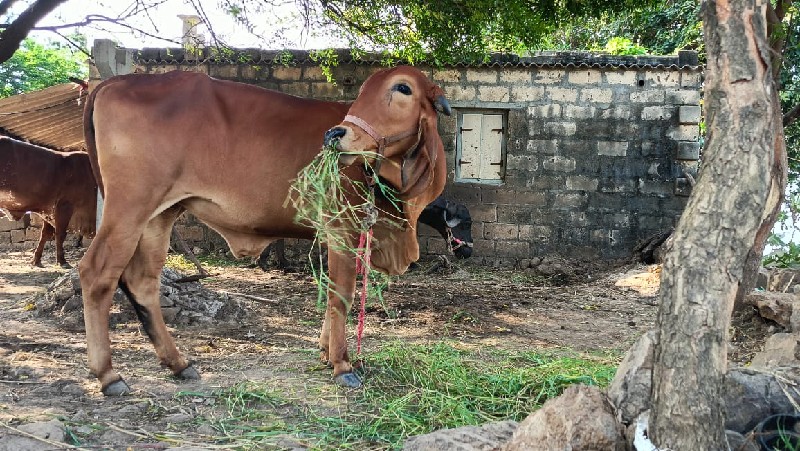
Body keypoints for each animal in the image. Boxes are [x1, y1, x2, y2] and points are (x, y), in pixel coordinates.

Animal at [0, 136, 97, 266]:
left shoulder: (49, 211)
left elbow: (45, 234)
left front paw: (36, 260)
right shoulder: (64, 205)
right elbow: (60, 234)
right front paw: (62, 260)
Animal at [80, 66, 450, 396]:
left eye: (403, 88)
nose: (335, 135)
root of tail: (113, 82)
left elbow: (332, 293)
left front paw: (326, 353)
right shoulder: (339, 228)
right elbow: (341, 294)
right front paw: (342, 364)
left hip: (160, 215)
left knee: (143, 281)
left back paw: (178, 363)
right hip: (129, 208)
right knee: (96, 273)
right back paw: (109, 375)